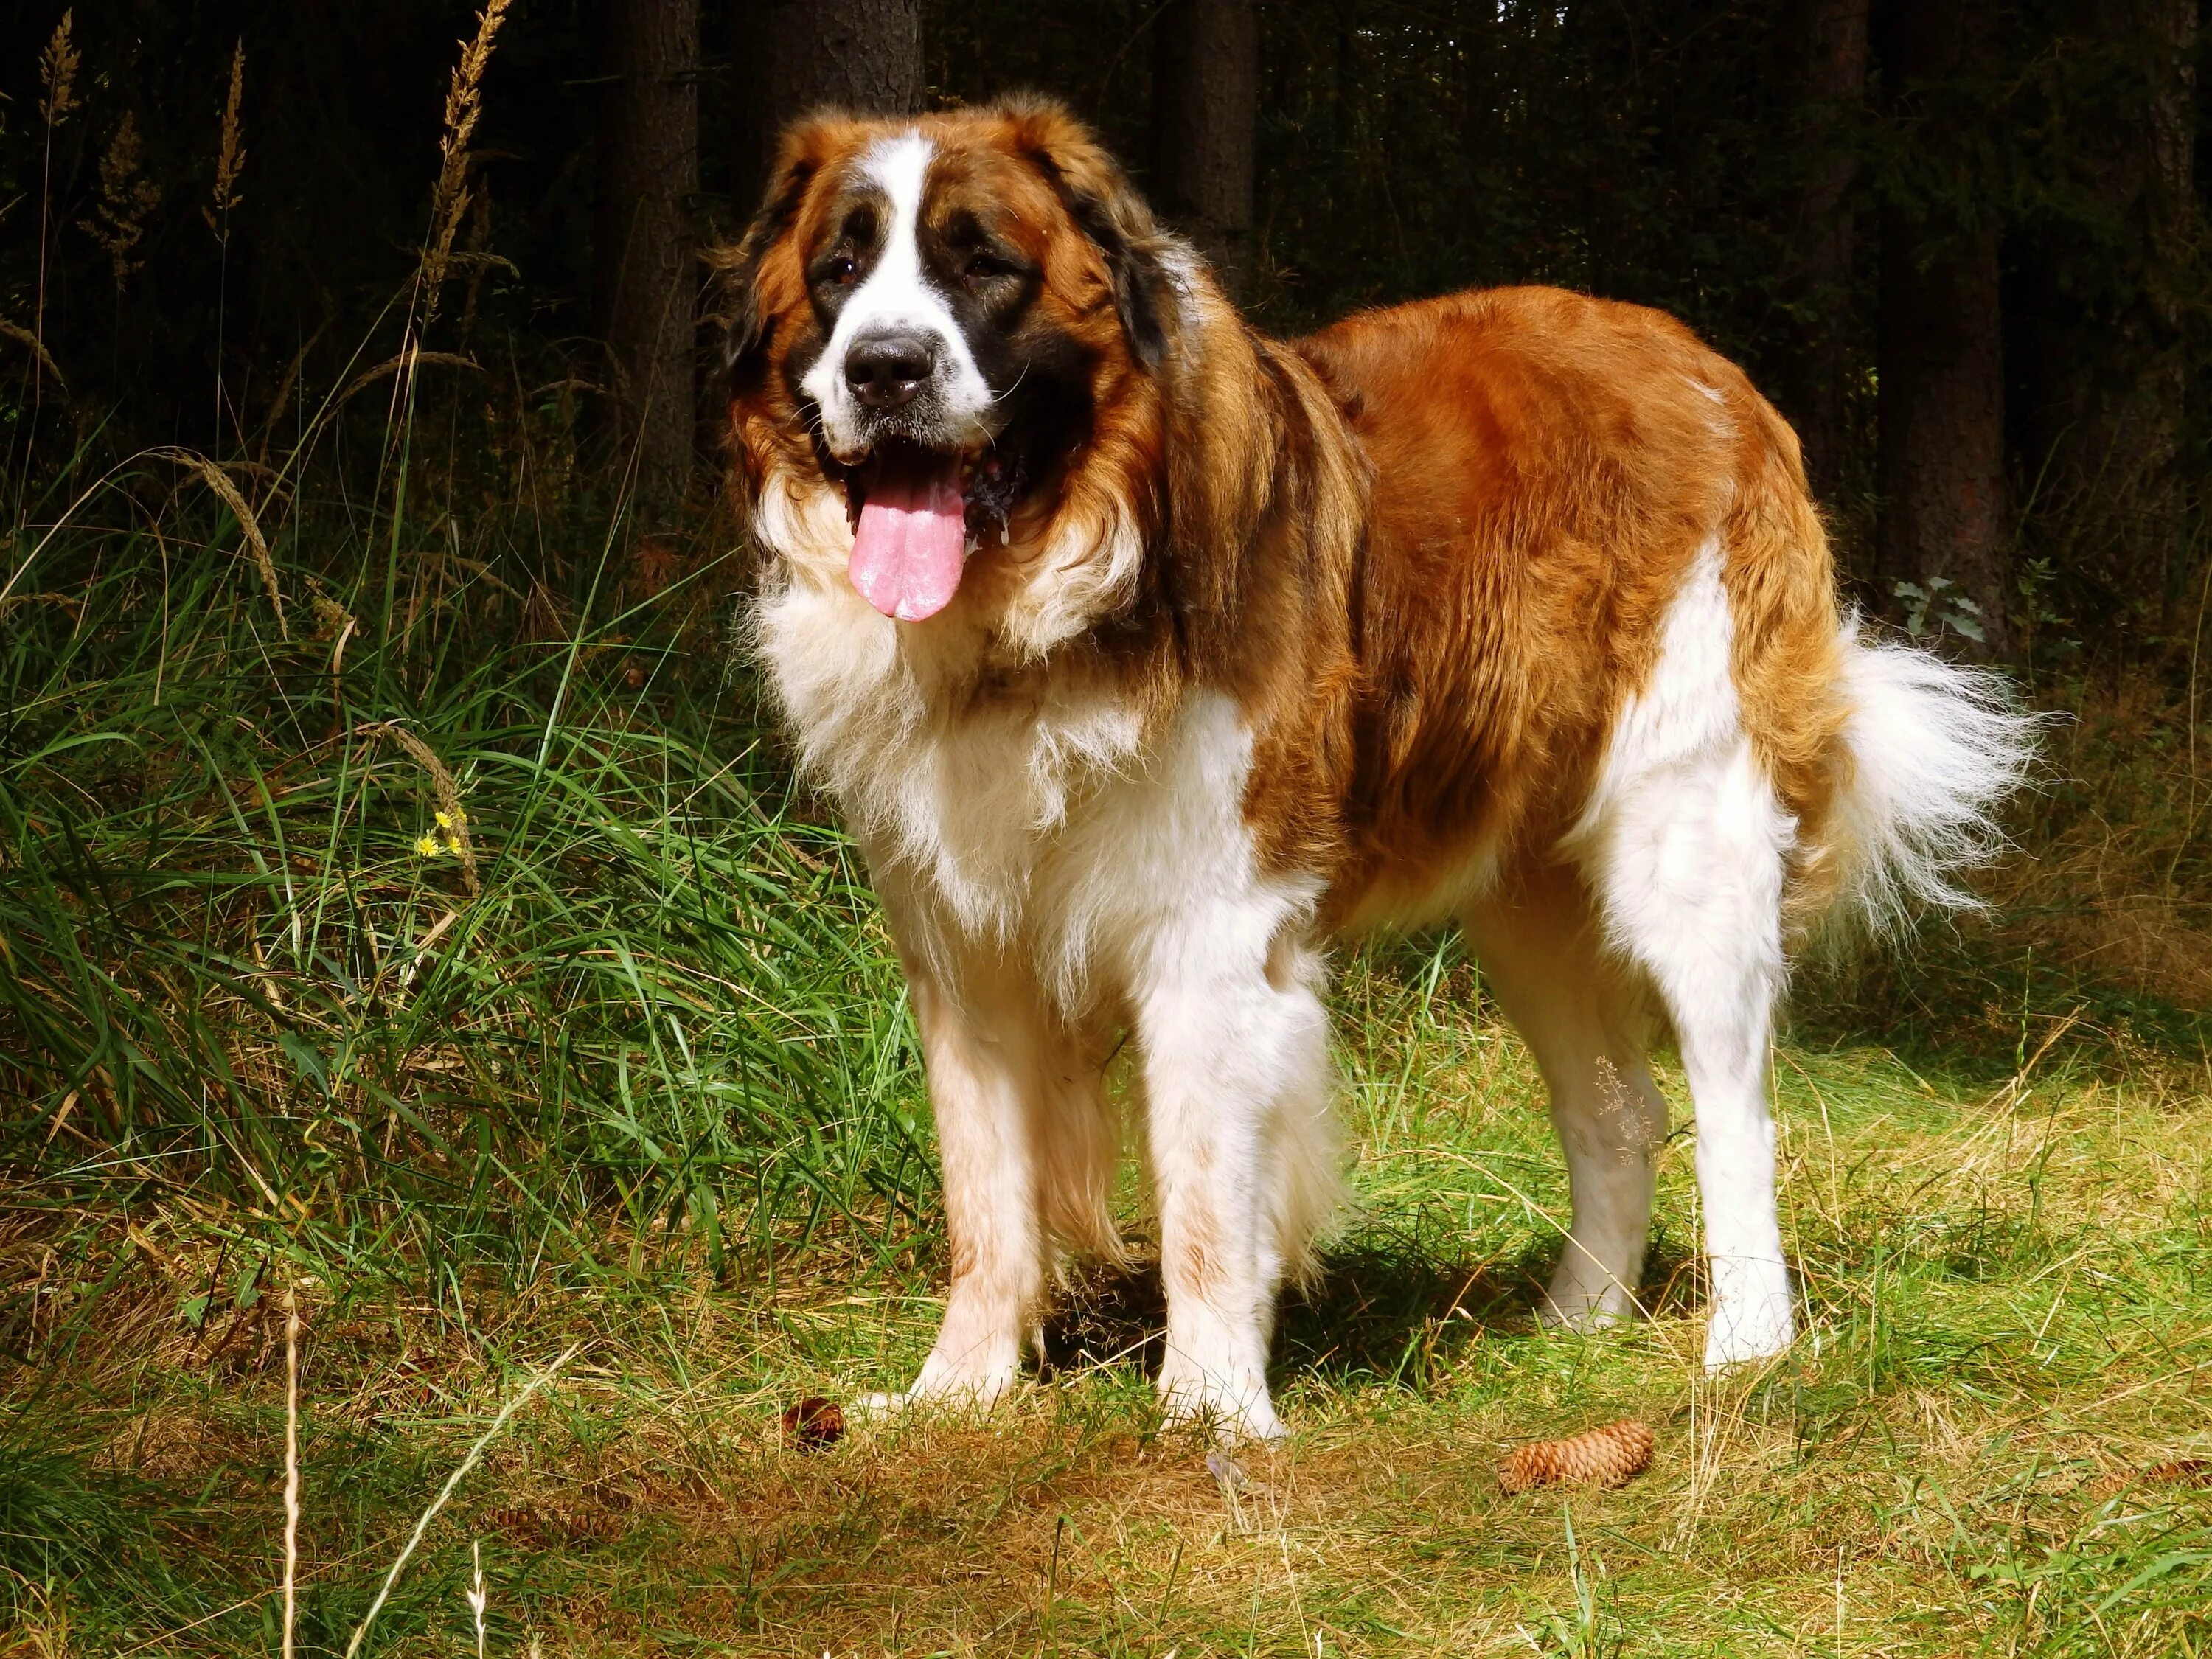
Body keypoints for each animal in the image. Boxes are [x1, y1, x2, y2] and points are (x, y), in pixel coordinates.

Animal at [726, 97, 2035, 1442]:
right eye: (840, 271)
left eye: (984, 262)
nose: (884, 368)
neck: (1041, 608)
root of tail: (1702, 362)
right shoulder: (963, 946)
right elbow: (986, 1201)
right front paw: (955, 1396)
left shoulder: (1209, 933)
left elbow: (1204, 1201)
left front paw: (1210, 1413)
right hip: (1528, 907)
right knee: (1619, 1111)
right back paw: (1577, 1319)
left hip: (1693, 850)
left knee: (1736, 1111)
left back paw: (1747, 1347)